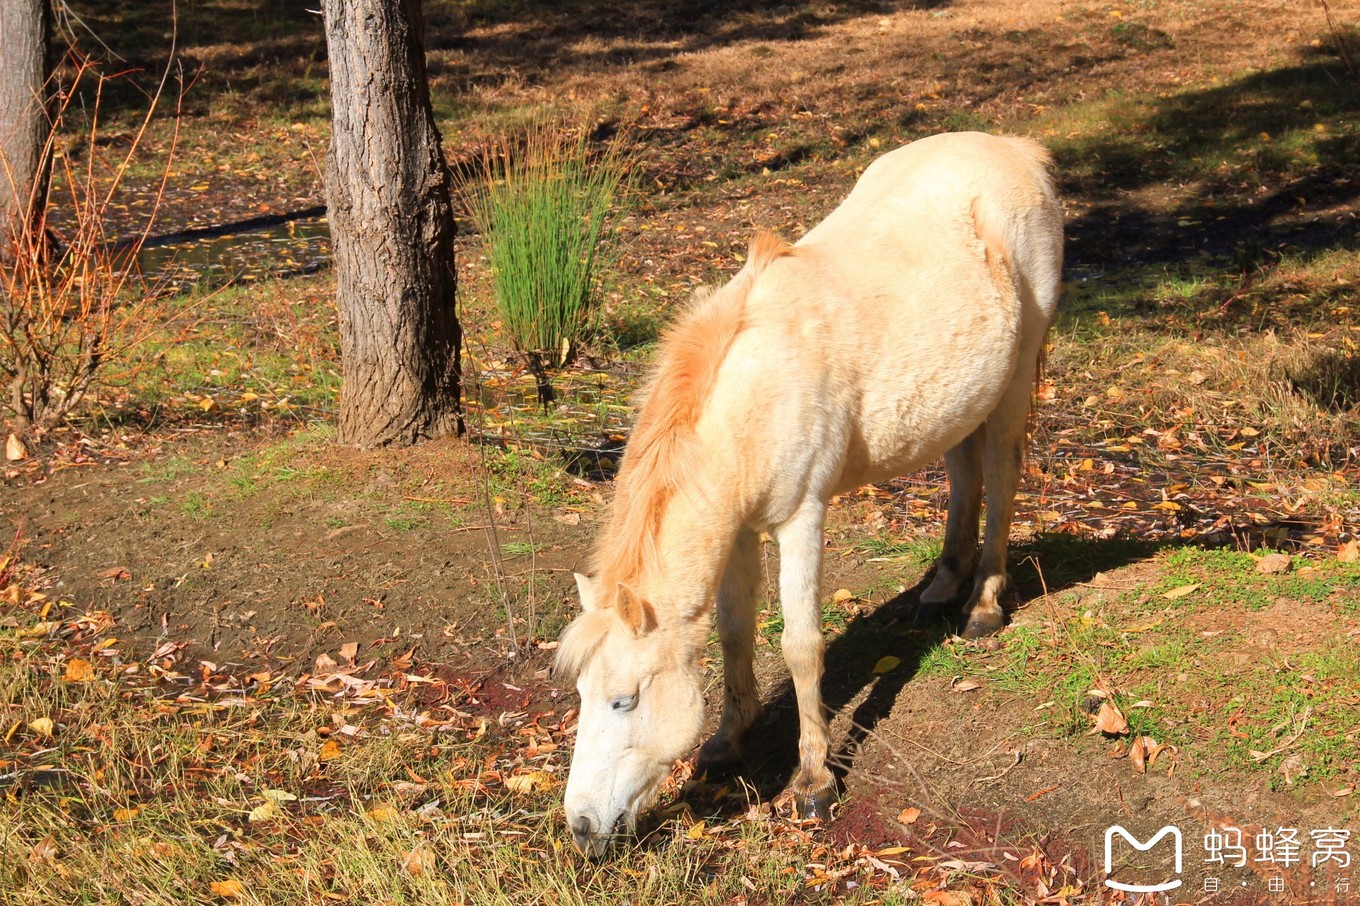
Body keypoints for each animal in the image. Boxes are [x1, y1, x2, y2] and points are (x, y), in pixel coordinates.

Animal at [552, 128, 1060, 854]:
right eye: (581, 696)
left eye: (625, 699)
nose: (583, 826)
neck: (753, 392)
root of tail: (1017, 149)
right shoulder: (737, 529)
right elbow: (736, 634)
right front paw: (725, 743)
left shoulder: (801, 519)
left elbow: (800, 646)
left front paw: (813, 782)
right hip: (962, 396)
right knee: (966, 474)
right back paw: (940, 589)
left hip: (1017, 379)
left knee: (1003, 470)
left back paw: (984, 604)